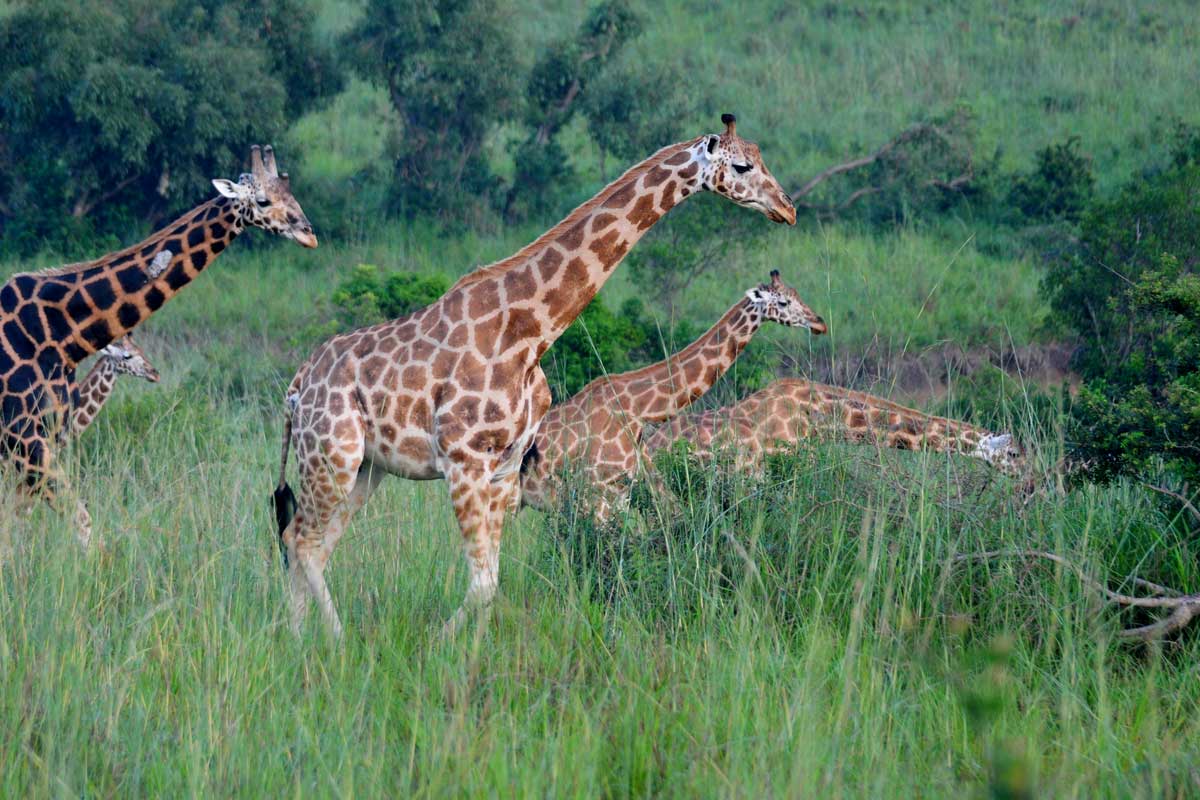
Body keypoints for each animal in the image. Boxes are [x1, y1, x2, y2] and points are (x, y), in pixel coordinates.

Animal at [0, 143, 316, 544]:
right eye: (262, 200)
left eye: (291, 194)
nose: (309, 234)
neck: (60, 333)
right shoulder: (24, 438)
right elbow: (76, 521)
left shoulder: (44, 437)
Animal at [273, 113, 796, 638]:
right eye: (744, 166)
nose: (787, 209)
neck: (530, 333)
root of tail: (297, 386)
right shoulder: (465, 461)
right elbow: (484, 582)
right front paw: (439, 644)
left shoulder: (504, 470)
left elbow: (490, 583)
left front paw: (473, 650)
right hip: (333, 453)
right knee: (301, 539)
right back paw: (329, 642)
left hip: (366, 467)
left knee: (308, 540)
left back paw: (301, 639)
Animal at [520, 271, 830, 520]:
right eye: (784, 302)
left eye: (797, 293)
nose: (820, 323)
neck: (637, 407)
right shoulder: (599, 494)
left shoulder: (618, 492)